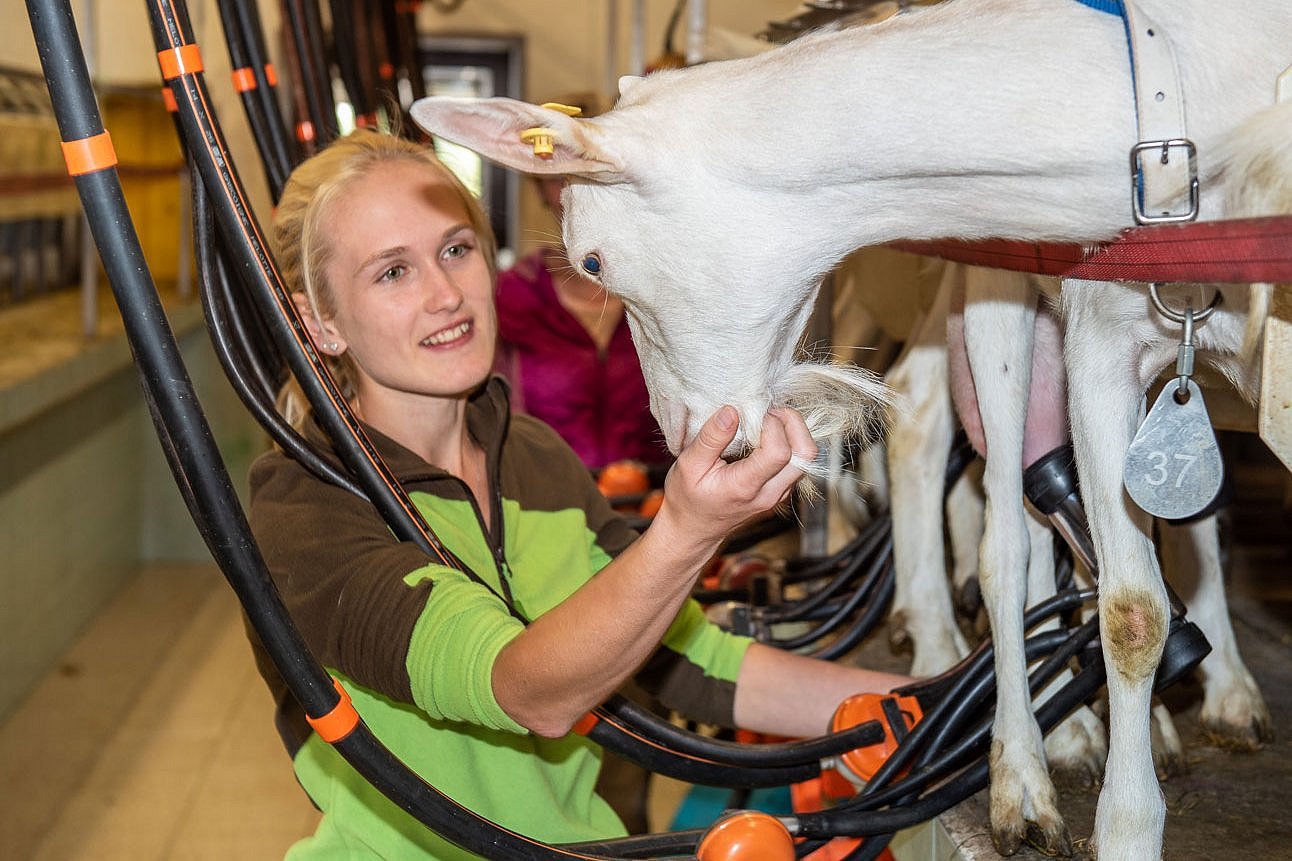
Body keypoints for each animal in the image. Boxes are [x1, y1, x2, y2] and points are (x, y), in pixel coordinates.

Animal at [413, 3, 1292, 853]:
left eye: (593, 262)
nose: (679, 432)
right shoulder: (1101, 330)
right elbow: (1132, 606)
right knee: (998, 522)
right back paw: (1032, 759)